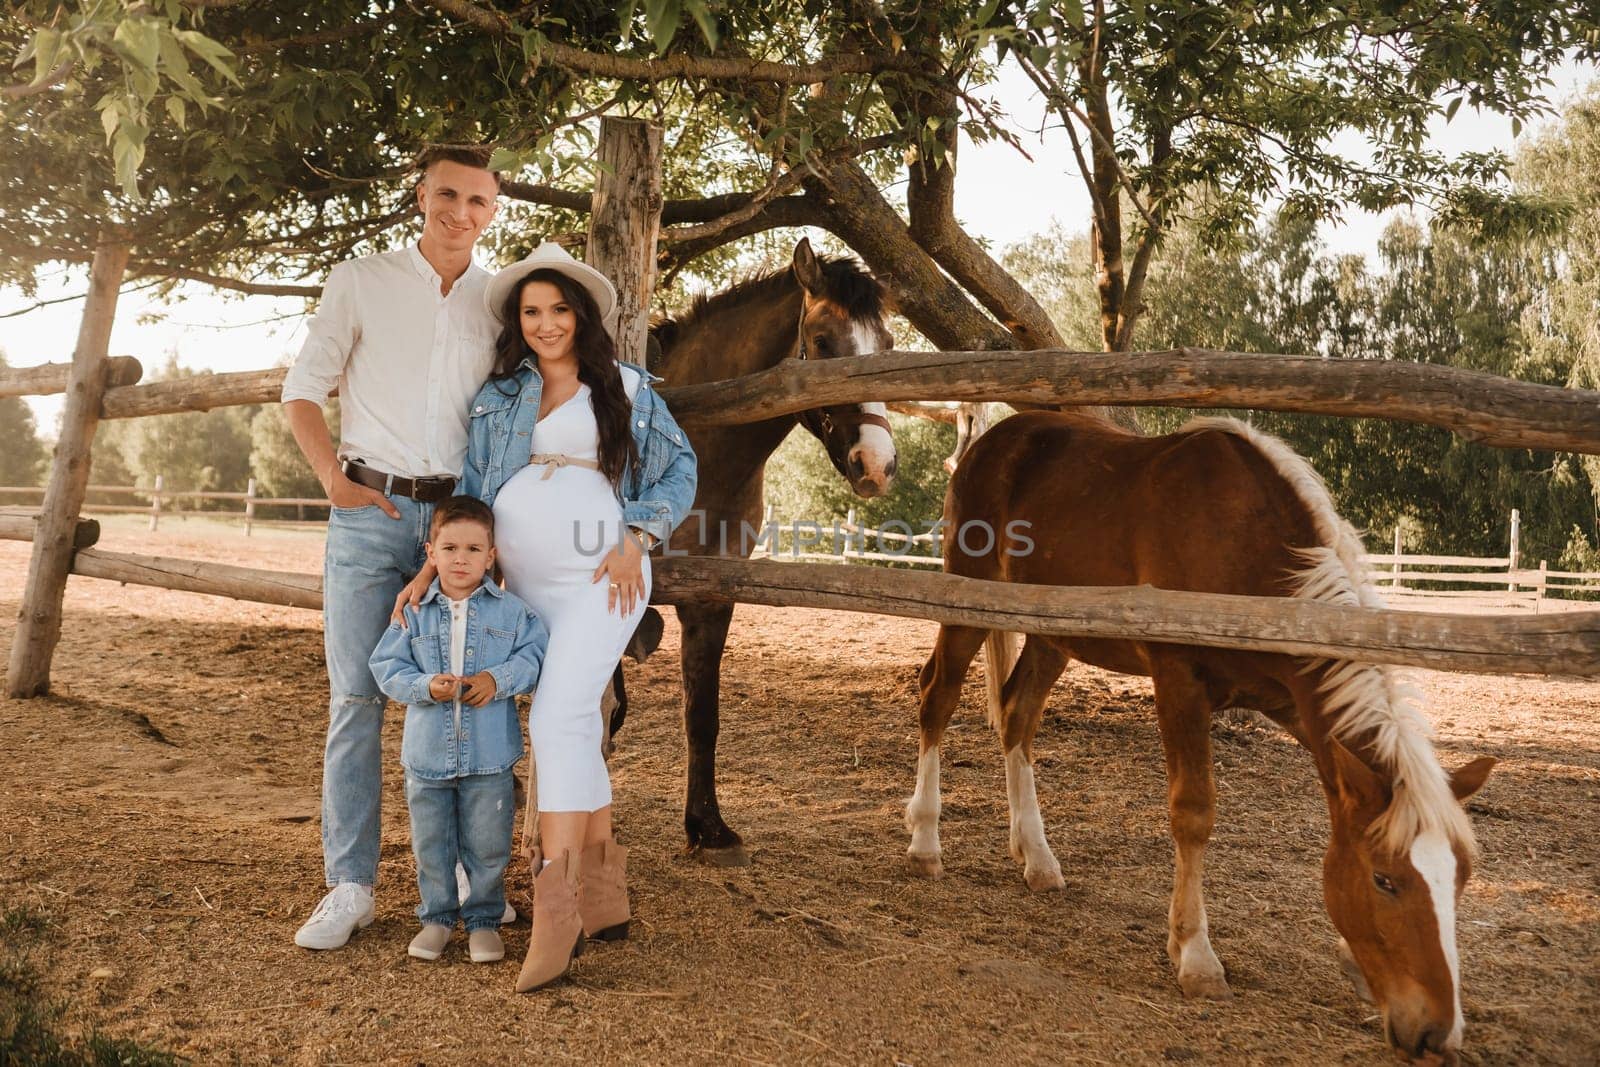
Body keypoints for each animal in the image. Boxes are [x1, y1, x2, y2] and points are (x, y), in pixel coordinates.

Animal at [649, 238, 902, 863]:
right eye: (823, 342)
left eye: (887, 346)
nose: (878, 464)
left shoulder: (712, 601)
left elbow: (702, 716)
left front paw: (708, 828)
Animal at [915, 412, 1497, 1067]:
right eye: (1384, 879)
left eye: (1461, 878)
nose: (1436, 1035)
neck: (1248, 547)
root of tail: (990, 441)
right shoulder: (1179, 682)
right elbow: (1193, 814)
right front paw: (1195, 955)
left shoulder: (1296, 705)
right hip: (967, 605)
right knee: (937, 699)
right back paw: (925, 842)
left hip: (1051, 634)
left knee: (1018, 716)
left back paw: (1037, 857)